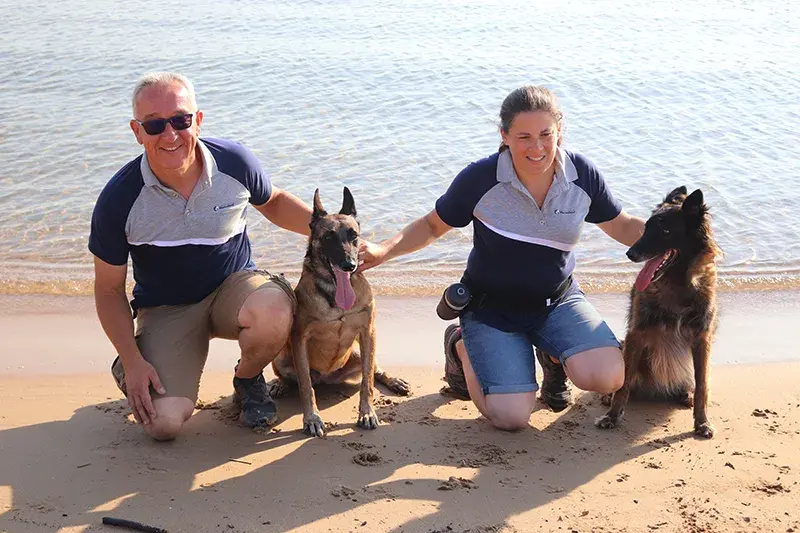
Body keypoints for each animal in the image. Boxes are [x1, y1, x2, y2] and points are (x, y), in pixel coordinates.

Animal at [268, 187, 410, 436]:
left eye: (354, 235)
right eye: (328, 237)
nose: (349, 265)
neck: (334, 293)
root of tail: (325, 378)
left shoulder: (368, 332)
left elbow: (367, 382)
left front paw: (366, 412)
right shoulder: (299, 338)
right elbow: (305, 386)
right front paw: (312, 418)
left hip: (358, 353)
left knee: (374, 369)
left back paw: (394, 381)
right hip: (283, 356)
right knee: (295, 378)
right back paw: (280, 384)